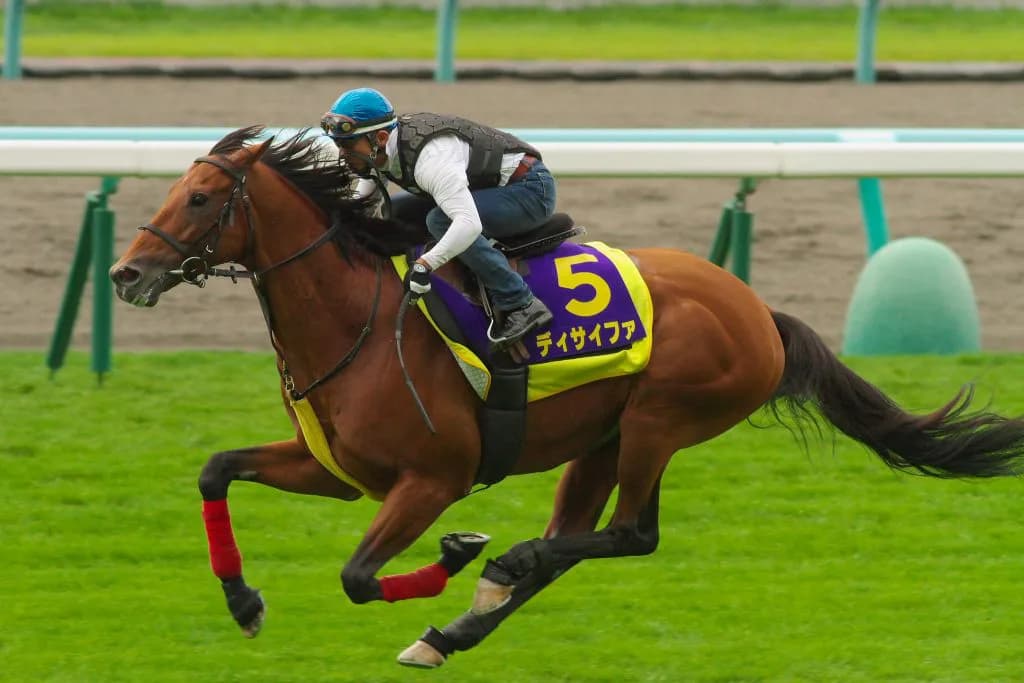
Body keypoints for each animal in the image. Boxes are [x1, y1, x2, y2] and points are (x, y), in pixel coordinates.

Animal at [109, 126, 1024, 668]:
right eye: (169, 191)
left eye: (199, 197)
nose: (125, 272)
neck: (355, 320)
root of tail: (759, 309)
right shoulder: (334, 470)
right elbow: (216, 469)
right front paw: (242, 600)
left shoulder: (432, 479)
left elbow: (359, 576)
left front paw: (456, 551)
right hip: (602, 438)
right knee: (574, 540)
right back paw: (456, 624)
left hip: (661, 418)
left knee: (630, 533)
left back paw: (495, 568)